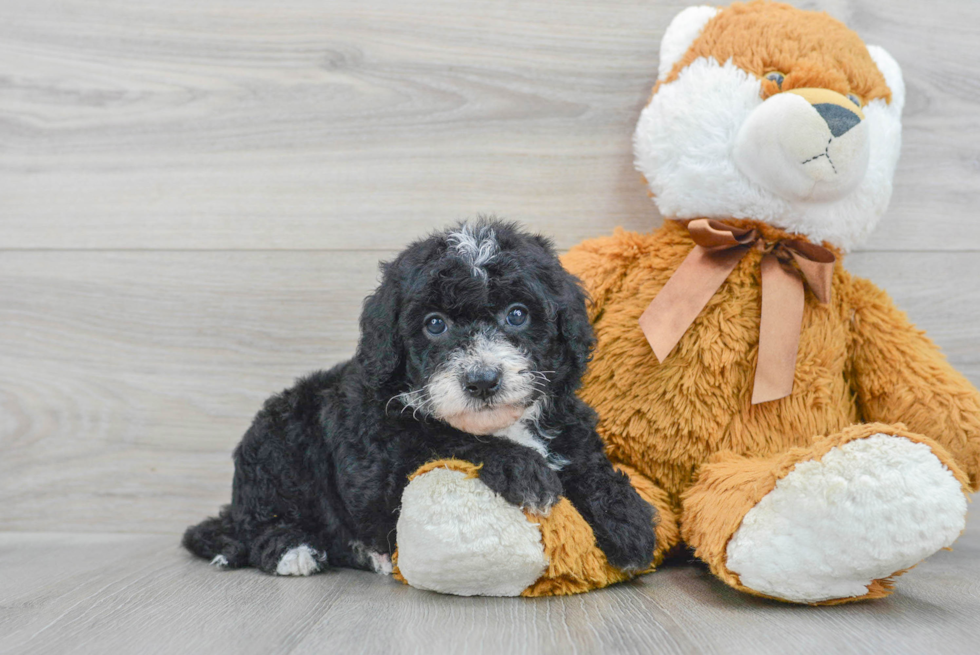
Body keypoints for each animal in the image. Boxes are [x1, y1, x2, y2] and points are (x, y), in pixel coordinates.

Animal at [184, 220, 660, 580]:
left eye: (517, 315)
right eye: (435, 324)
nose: (482, 380)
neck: (503, 424)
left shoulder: (567, 424)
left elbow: (587, 463)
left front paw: (628, 520)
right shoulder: (379, 466)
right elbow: (444, 441)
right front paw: (522, 469)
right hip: (277, 445)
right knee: (263, 522)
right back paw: (295, 551)